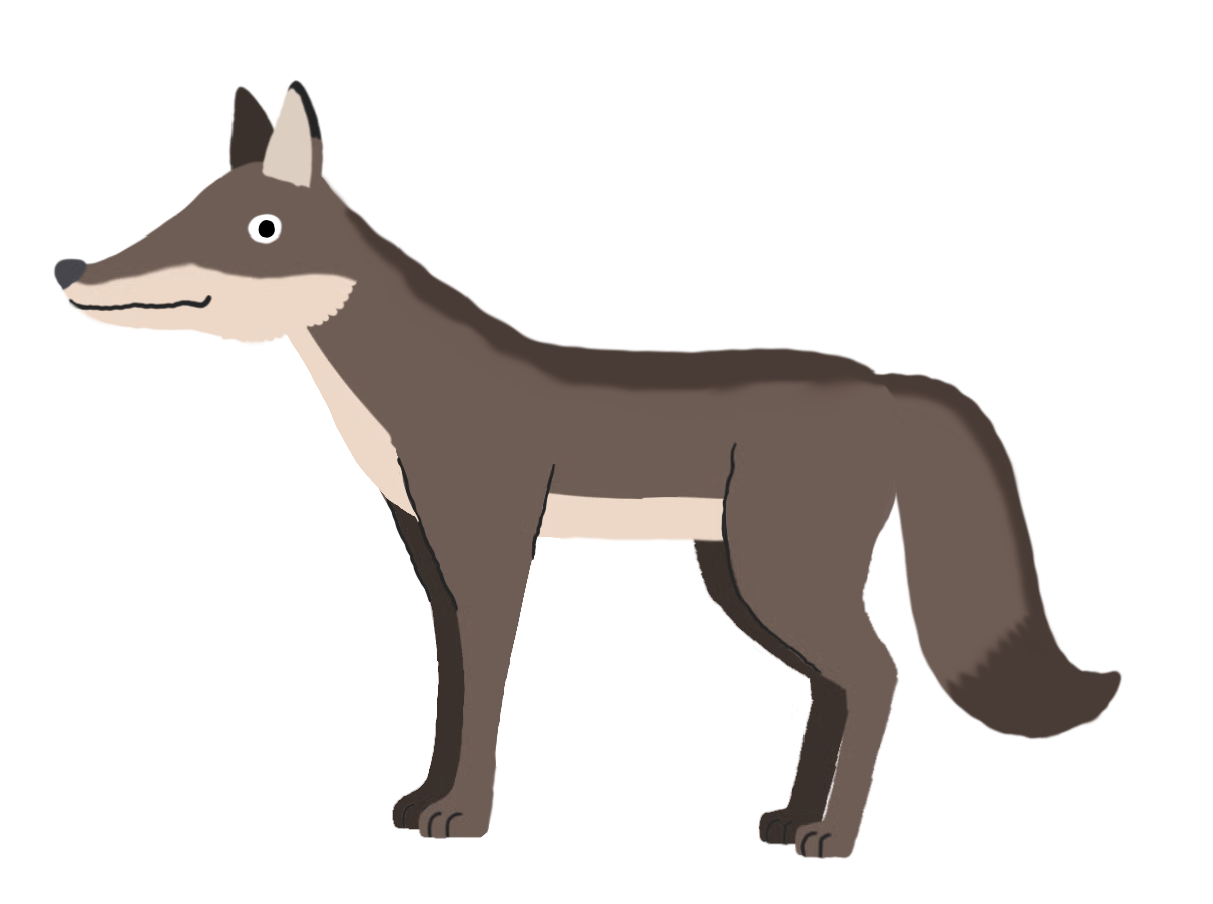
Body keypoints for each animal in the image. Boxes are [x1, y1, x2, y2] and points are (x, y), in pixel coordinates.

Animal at [54, 80, 1122, 858]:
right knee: (845, 685)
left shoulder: (492, 551)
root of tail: (883, 381)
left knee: (882, 673)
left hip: (775, 580)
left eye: (258, 231)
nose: (70, 272)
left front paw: (464, 818)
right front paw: (428, 799)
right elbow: (453, 687)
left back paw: (830, 835)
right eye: (174, 211)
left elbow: (485, 690)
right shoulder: (433, 558)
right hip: (736, 581)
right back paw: (790, 820)